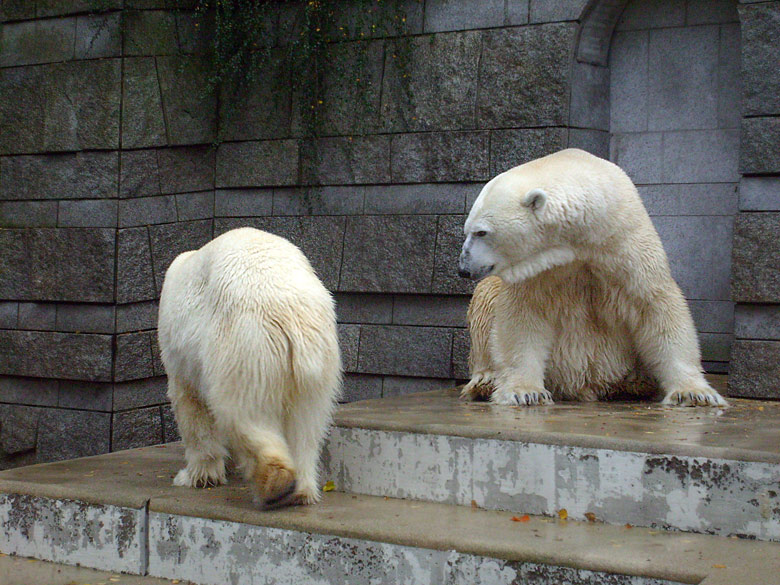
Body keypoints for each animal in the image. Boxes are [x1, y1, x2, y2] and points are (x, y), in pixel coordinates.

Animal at [158, 226, 342, 508]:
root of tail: (291, 316)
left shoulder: (180, 352)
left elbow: (192, 407)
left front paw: (196, 475)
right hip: (318, 362)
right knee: (306, 422)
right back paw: (299, 490)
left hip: (244, 344)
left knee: (243, 411)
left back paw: (274, 482)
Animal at [460, 148, 728, 408]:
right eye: (467, 230)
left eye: (481, 232)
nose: (463, 268)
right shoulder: (539, 270)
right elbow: (522, 315)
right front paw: (525, 392)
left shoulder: (625, 244)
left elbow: (655, 307)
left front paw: (694, 393)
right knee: (485, 301)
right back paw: (484, 382)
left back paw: (634, 384)